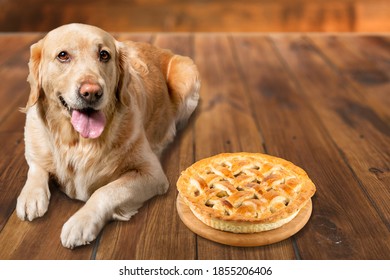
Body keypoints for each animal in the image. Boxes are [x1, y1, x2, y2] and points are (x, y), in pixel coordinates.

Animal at [15, 23, 200, 248]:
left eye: (104, 55)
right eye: (63, 55)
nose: (92, 92)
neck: (78, 143)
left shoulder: (152, 173)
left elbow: (105, 191)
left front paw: (80, 222)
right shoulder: (35, 142)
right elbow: (36, 167)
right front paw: (30, 197)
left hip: (186, 78)